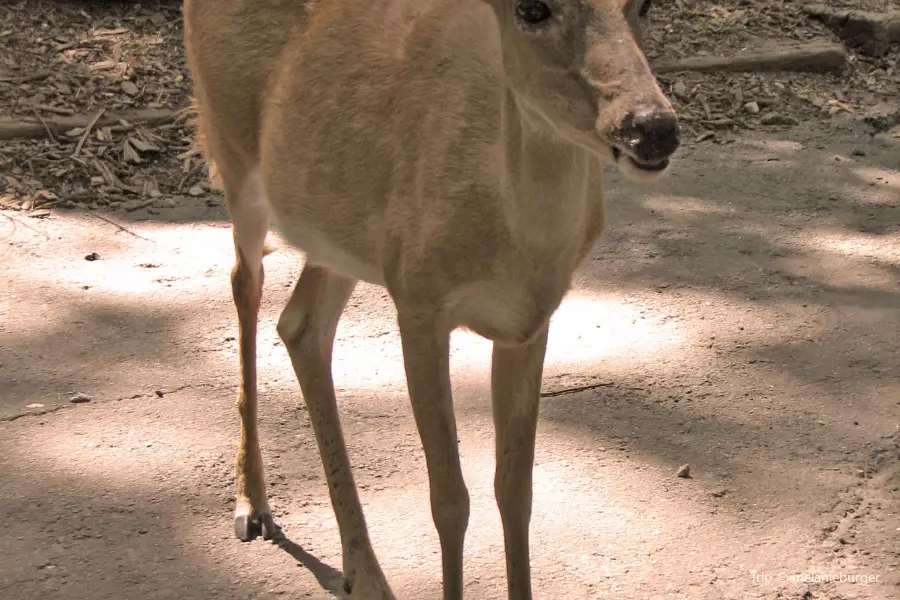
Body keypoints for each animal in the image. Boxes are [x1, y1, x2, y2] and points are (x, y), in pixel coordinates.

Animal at [181, 0, 676, 596]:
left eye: (646, 4)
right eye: (532, 10)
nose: (653, 128)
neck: (517, 243)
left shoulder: (529, 321)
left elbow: (515, 491)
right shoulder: (419, 305)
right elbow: (449, 501)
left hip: (343, 232)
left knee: (301, 323)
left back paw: (362, 571)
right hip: (233, 153)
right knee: (244, 281)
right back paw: (252, 504)